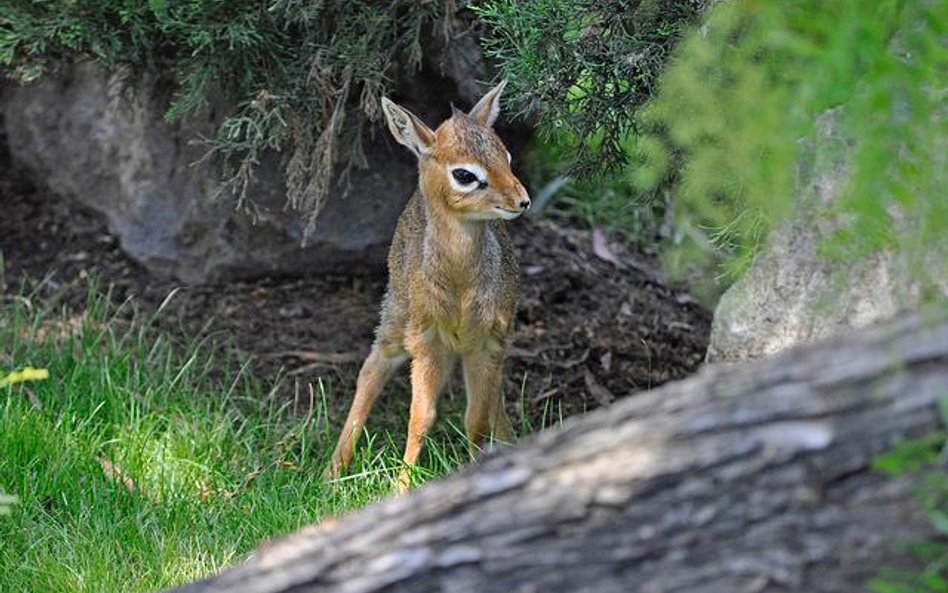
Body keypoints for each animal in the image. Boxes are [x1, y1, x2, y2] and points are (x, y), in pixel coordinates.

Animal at [328, 81, 528, 488]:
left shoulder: (488, 341)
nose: (522, 200)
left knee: (495, 402)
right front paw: (401, 487)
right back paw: (333, 470)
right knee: (370, 370)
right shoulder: (426, 339)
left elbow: (476, 419)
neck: (460, 285)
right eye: (464, 174)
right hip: (396, 318)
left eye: (506, 156)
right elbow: (421, 418)